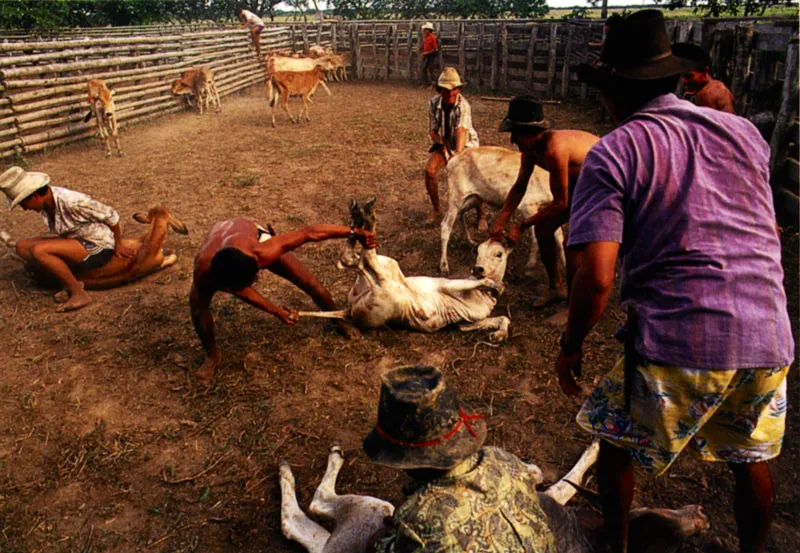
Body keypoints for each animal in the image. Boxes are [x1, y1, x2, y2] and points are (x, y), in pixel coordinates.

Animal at [280, 440, 708, 552]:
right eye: (654, 514)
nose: (700, 516)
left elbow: (560, 482)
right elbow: (562, 482)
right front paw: (595, 447)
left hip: (370, 518)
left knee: (304, 520)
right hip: (374, 513)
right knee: (312, 508)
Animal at [300, 196, 512, 342]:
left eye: (498, 254)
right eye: (479, 250)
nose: (478, 268)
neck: (484, 294)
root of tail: (349, 311)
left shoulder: (466, 324)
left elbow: (502, 318)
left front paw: (499, 334)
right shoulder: (450, 285)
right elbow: (475, 284)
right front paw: (492, 283)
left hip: (384, 281)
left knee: (353, 261)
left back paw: (360, 215)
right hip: (389, 283)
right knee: (364, 259)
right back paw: (367, 215)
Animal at [440, 146, 564, 276]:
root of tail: (453, 157)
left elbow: (559, 236)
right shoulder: (527, 206)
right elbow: (535, 236)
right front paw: (529, 266)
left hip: (473, 198)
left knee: (460, 214)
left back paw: (471, 242)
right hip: (456, 197)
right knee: (445, 225)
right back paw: (444, 266)